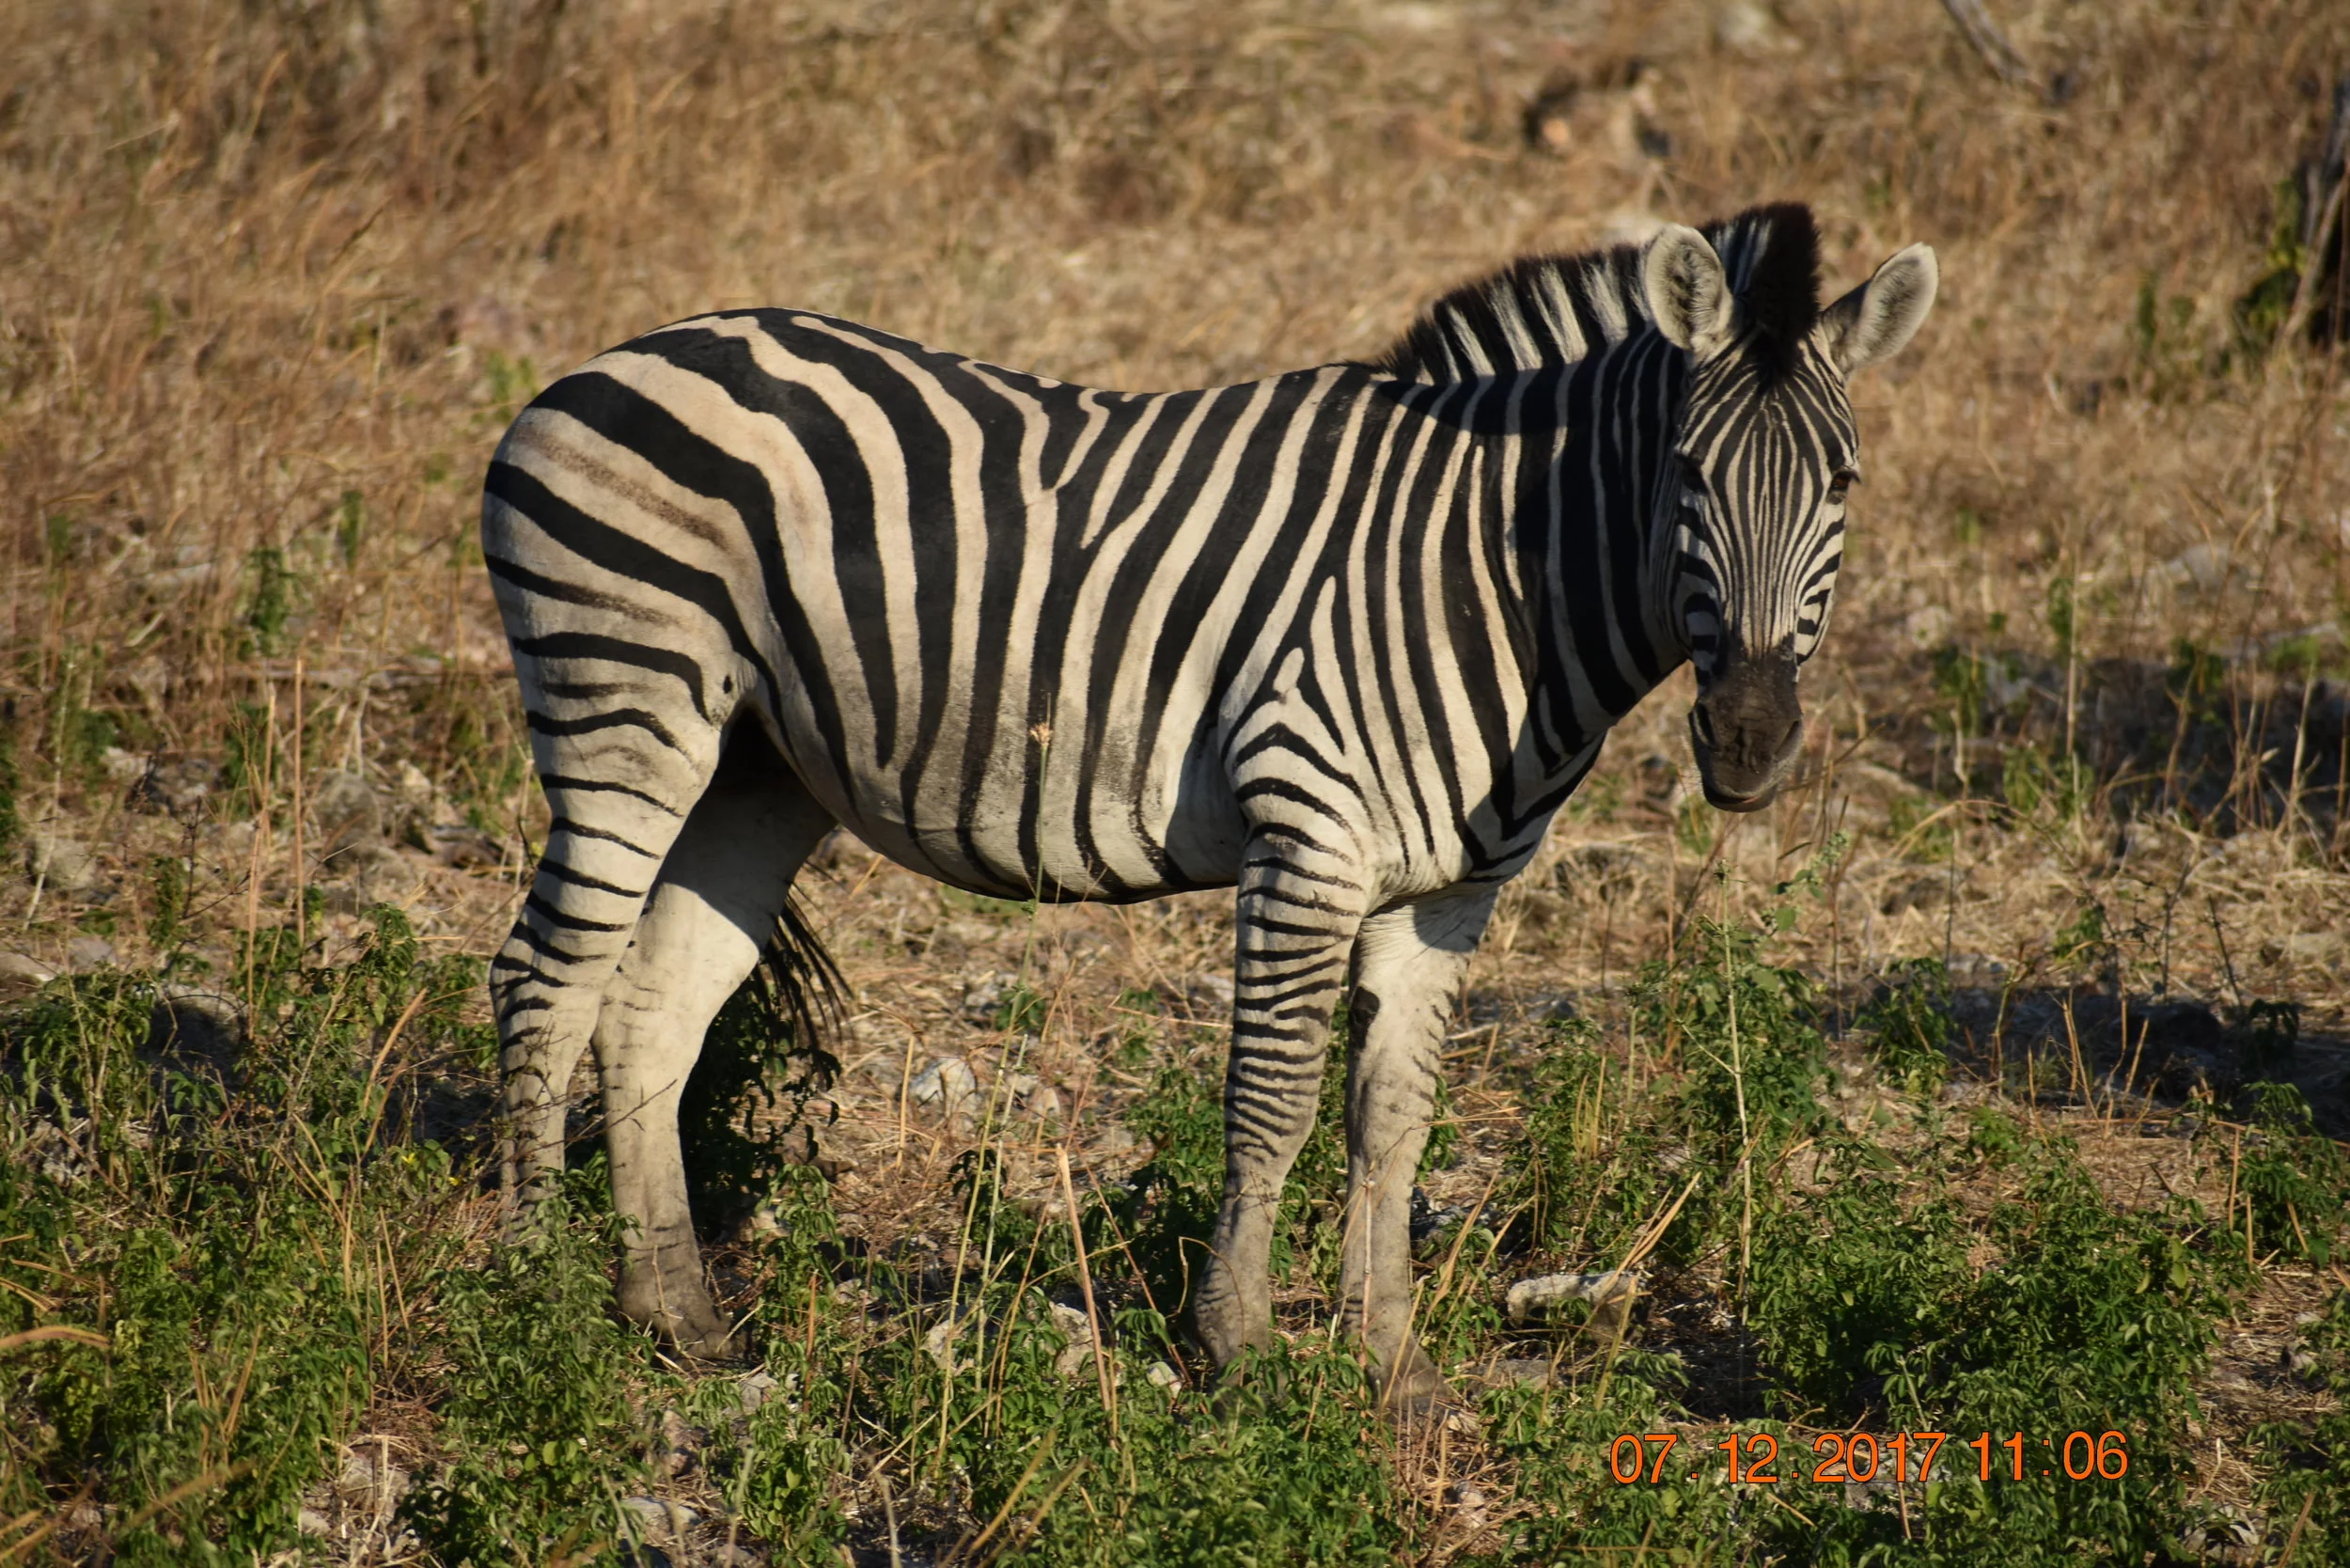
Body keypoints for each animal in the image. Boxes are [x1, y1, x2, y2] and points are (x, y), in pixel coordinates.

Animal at [481, 202, 1936, 1410]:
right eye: (1685, 474)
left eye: (1844, 485)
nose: (1748, 743)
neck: (1490, 571)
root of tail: (608, 361)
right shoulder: (1310, 832)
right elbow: (1275, 1097)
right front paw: (1236, 1347)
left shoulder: (1449, 893)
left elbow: (1393, 1117)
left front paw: (1391, 1368)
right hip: (627, 703)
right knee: (544, 981)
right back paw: (530, 1295)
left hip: (758, 766)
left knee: (651, 1010)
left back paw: (677, 1320)